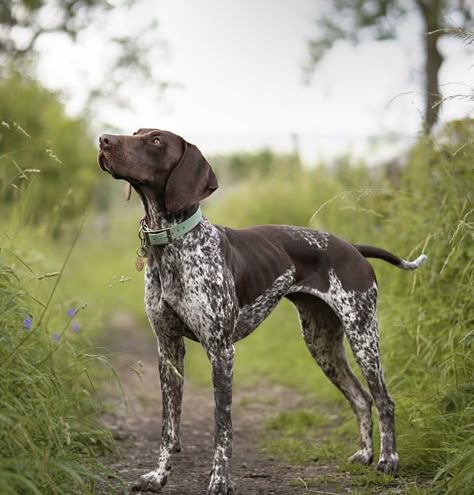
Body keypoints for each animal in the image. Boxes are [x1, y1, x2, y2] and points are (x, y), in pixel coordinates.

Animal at [98, 130, 428, 494]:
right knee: (360, 398)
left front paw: (220, 480)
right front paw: (158, 476)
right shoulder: (168, 350)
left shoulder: (221, 351)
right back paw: (365, 455)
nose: (103, 139)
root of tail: (352, 248)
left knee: (384, 400)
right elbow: (168, 427)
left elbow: (222, 427)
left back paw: (388, 461)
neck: (173, 244)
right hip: (322, 343)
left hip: (363, 336)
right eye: (136, 133)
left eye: (155, 140)